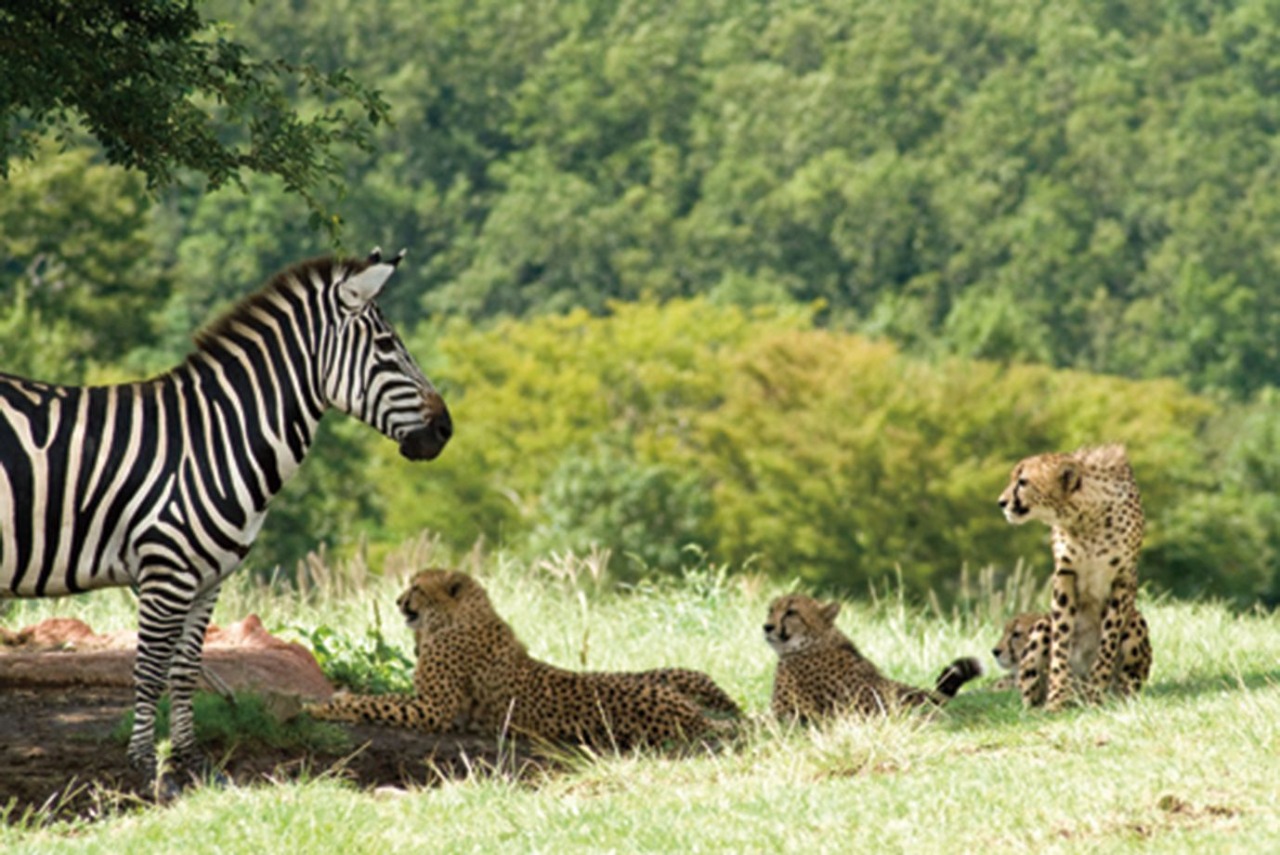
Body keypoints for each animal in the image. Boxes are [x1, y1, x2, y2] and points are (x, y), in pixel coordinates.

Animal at [0, 245, 450, 788]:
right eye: (387, 347)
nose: (445, 430)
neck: (215, 439)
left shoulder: (205, 579)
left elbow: (185, 668)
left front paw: (193, 763)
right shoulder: (166, 572)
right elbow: (150, 669)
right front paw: (148, 769)